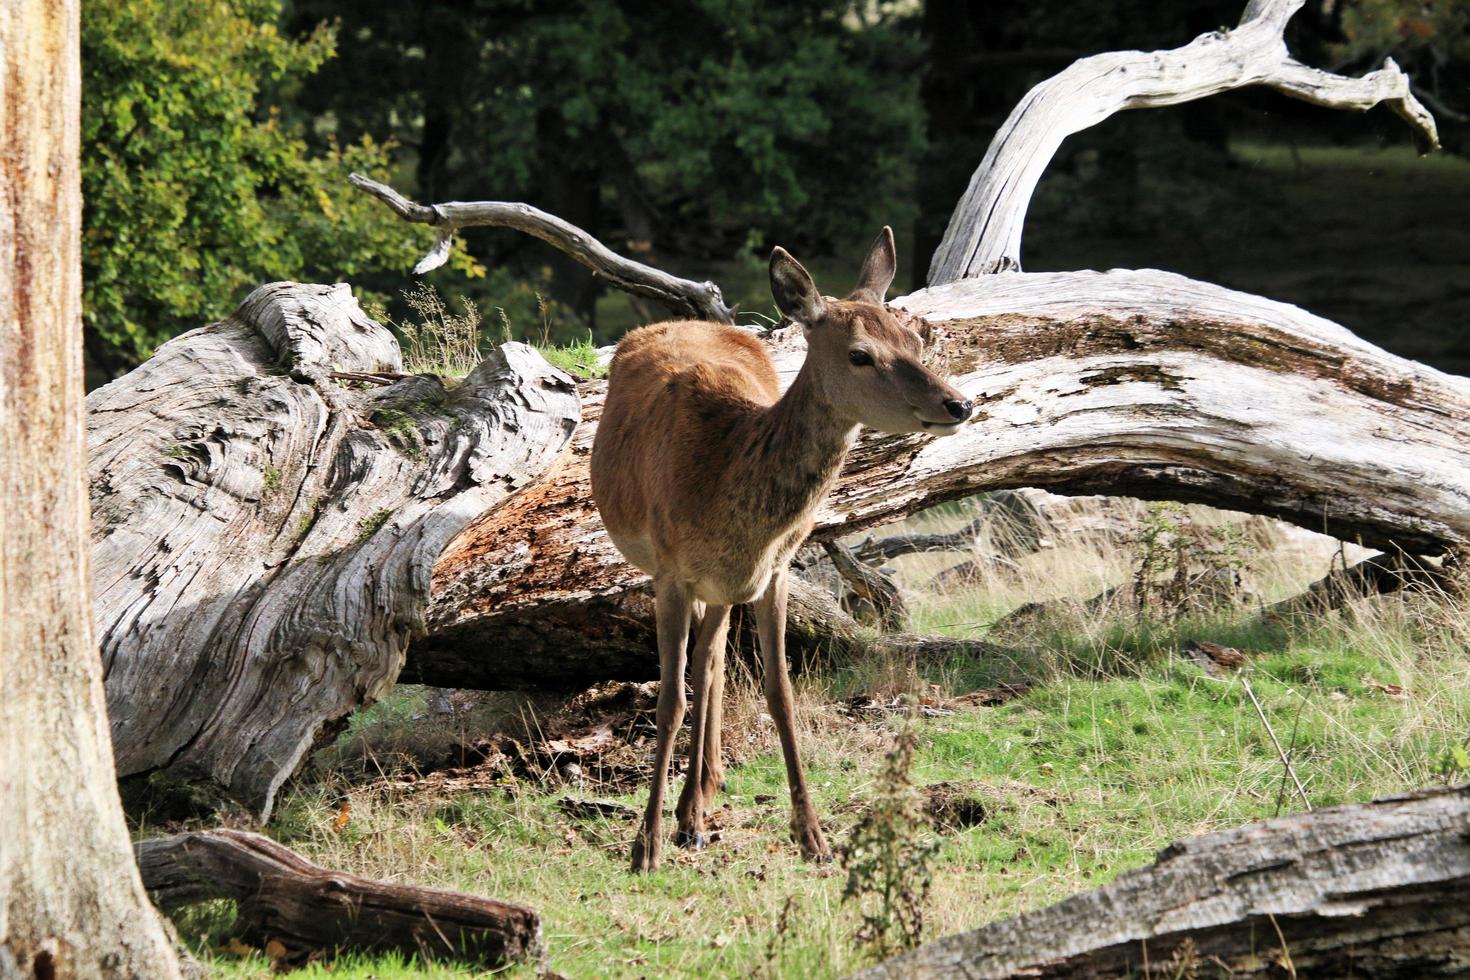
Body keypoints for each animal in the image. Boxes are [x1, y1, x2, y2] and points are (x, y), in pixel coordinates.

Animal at [585, 230, 976, 875]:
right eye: (860, 354)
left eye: (915, 339)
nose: (958, 405)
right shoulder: (670, 572)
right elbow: (669, 700)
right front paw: (645, 847)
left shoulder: (775, 571)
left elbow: (781, 692)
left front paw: (813, 837)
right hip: (687, 574)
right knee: (703, 666)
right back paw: (688, 811)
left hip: (725, 587)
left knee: (713, 662)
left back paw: (700, 802)